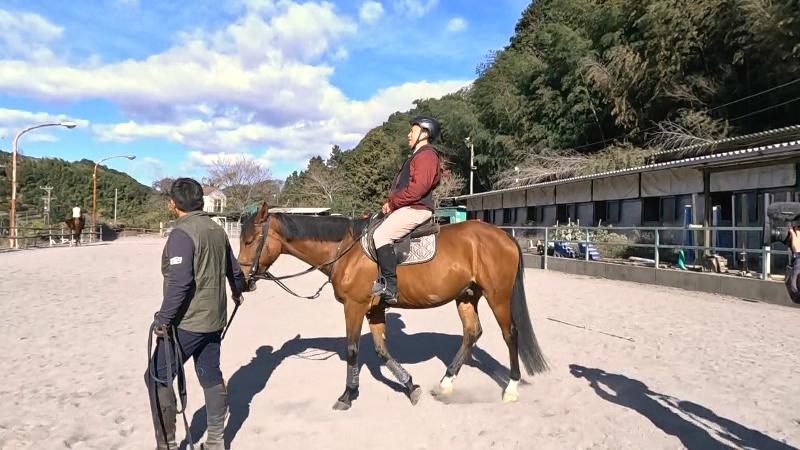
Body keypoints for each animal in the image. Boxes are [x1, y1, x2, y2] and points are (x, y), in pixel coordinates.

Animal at [237, 202, 548, 410]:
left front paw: (347, 395)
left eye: (250, 240)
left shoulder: (354, 306)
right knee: (472, 333)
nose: (242, 281)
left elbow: (352, 349)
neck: (345, 250)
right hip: (467, 296)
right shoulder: (374, 309)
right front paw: (410, 386)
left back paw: (511, 387)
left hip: (498, 297)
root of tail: (504, 235)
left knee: (510, 334)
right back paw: (445, 383)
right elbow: (381, 350)